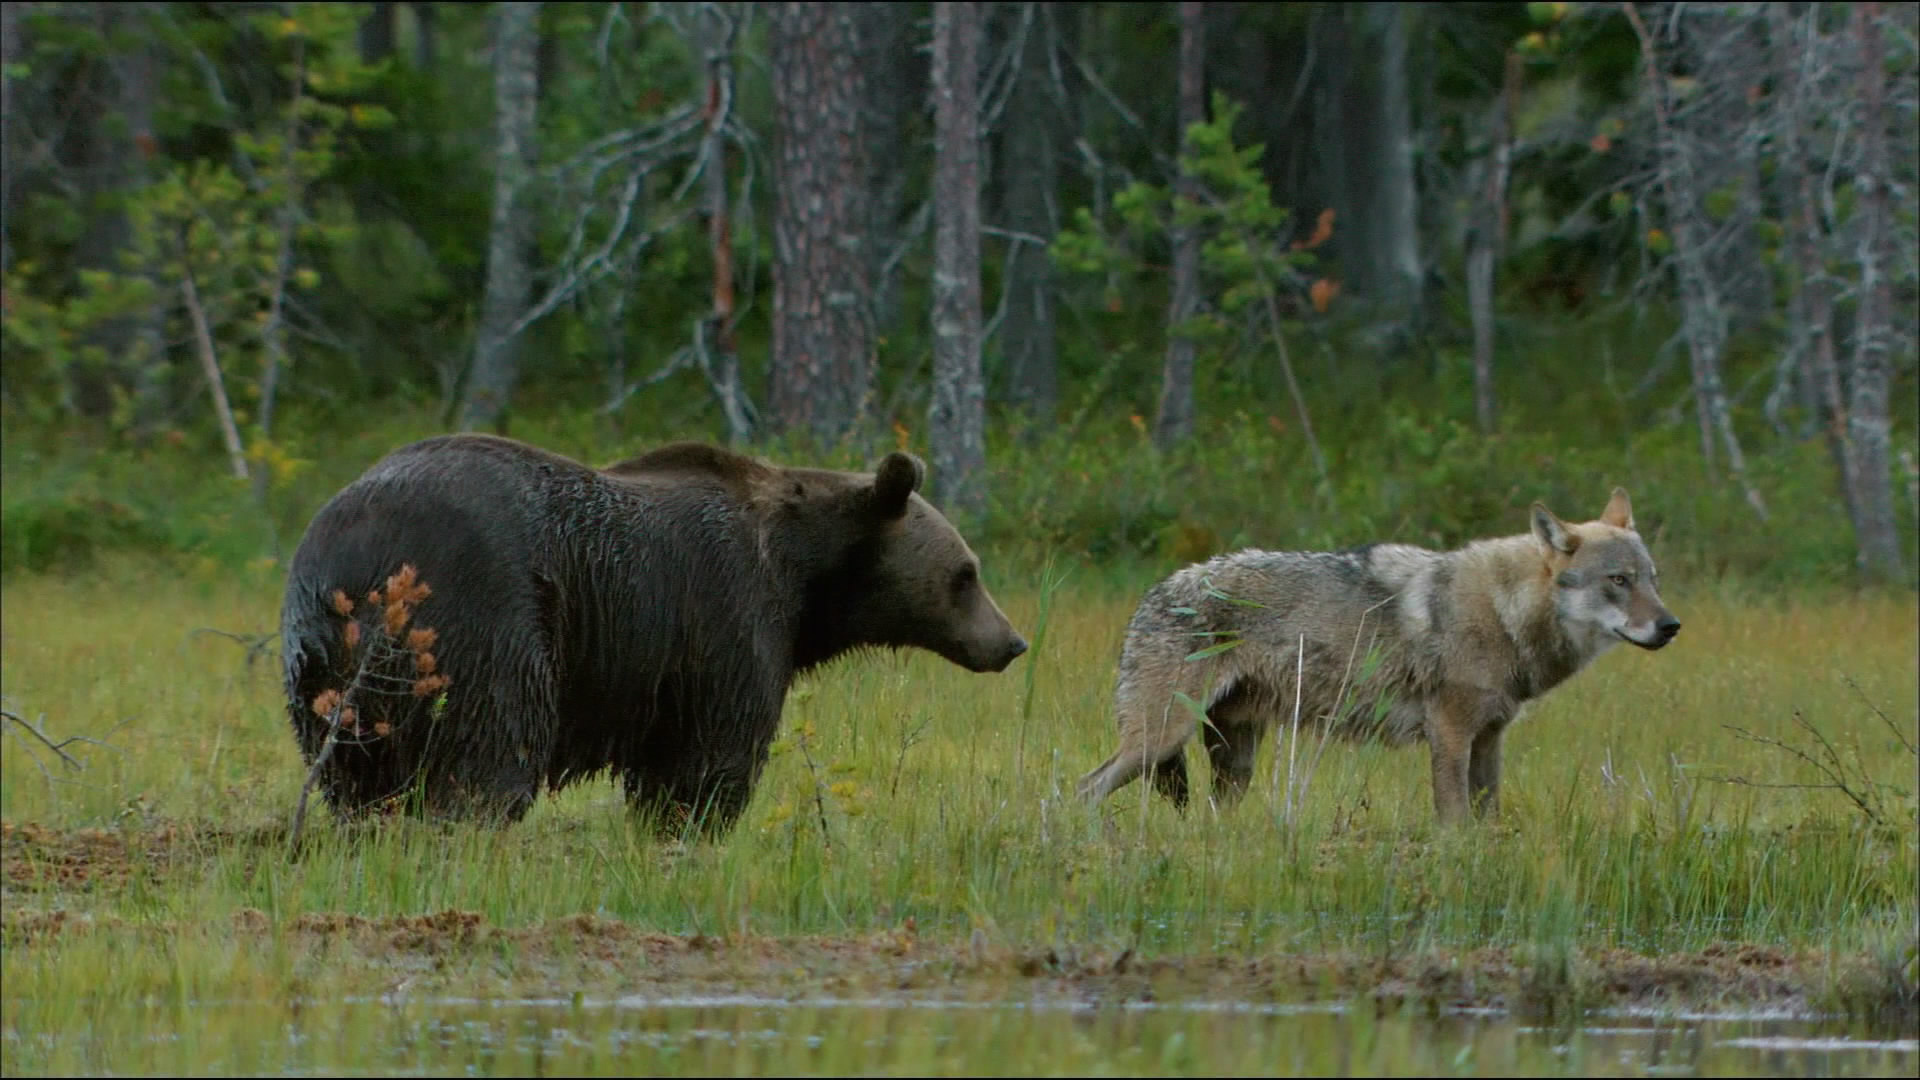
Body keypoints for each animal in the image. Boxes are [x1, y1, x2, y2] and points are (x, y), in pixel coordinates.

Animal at [280, 432, 1029, 826]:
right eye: (966, 573)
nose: (1012, 641)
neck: (802, 576)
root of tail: (352, 558)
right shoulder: (727, 611)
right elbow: (710, 752)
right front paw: (694, 822)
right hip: (484, 613)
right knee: (495, 738)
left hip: (323, 663)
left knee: (354, 771)